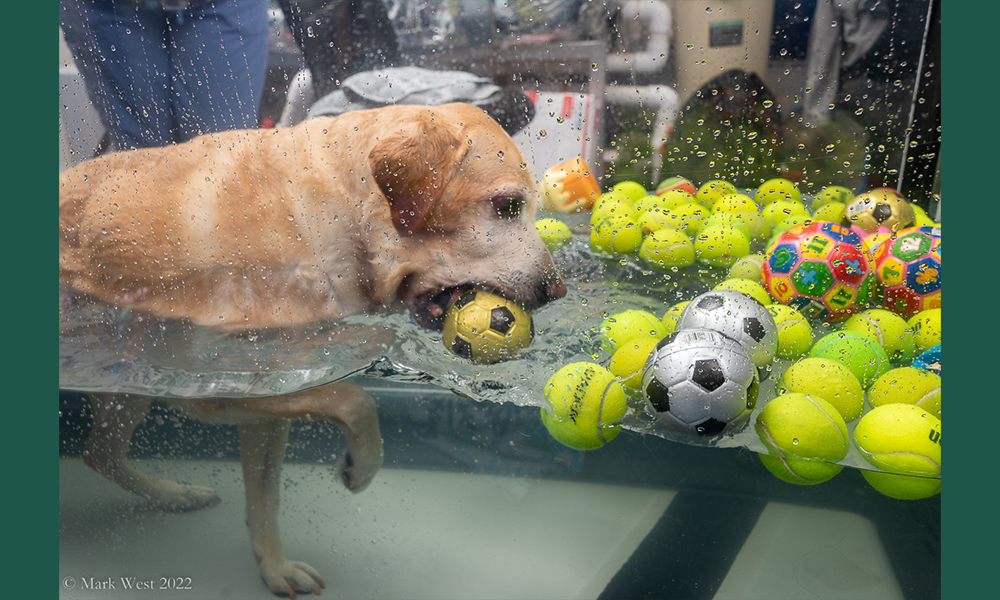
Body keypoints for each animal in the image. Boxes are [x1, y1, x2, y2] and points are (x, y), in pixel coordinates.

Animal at [58, 103, 568, 596]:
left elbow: (266, 497)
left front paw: (275, 568)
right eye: (507, 206)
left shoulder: (265, 404)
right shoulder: (218, 383)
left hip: (128, 383)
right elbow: (354, 399)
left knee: (98, 454)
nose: (557, 289)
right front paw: (362, 466)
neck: (336, 217)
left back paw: (173, 493)